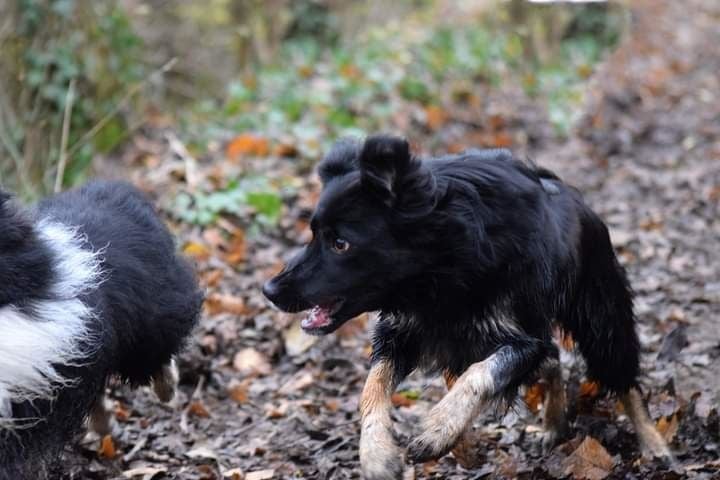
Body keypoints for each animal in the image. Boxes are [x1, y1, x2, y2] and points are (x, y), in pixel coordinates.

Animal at [266, 136, 676, 480]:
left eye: (340, 244)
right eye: (313, 233)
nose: (269, 290)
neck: (444, 265)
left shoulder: (518, 336)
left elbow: (480, 375)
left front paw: (436, 433)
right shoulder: (406, 332)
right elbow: (373, 387)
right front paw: (378, 455)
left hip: (598, 313)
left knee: (622, 377)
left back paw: (654, 444)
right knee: (553, 361)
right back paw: (553, 423)